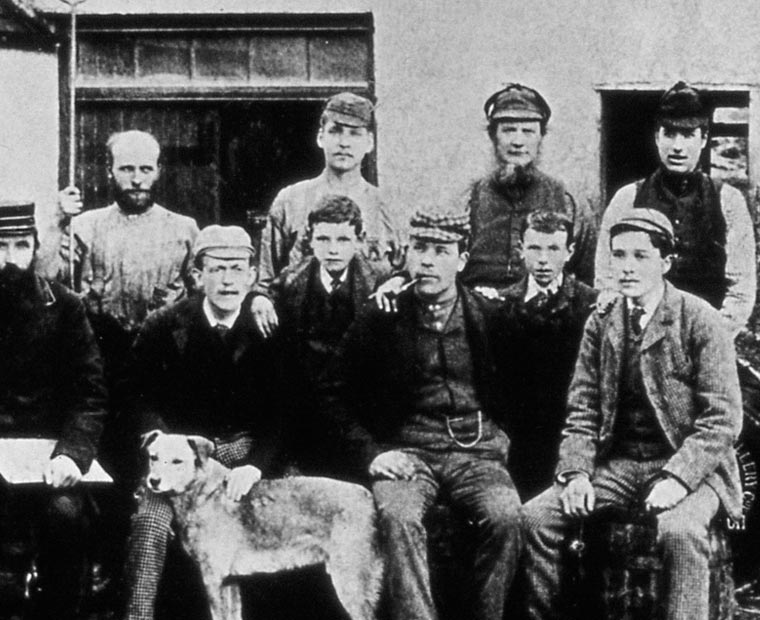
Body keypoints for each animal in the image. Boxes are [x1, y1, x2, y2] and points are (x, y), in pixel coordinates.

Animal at [140, 432, 382, 620]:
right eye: (153, 457)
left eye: (177, 461)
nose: (153, 481)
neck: (204, 492)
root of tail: (369, 498)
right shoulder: (229, 582)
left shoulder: (213, 578)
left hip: (352, 581)